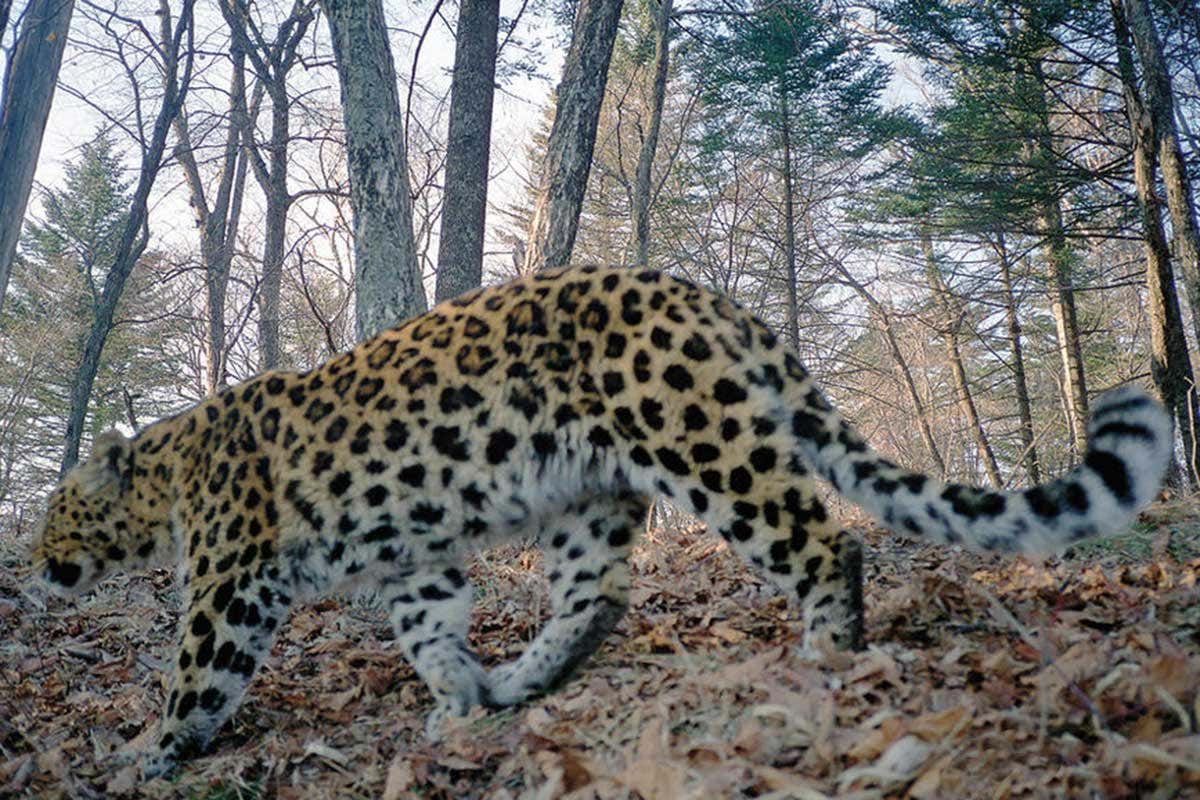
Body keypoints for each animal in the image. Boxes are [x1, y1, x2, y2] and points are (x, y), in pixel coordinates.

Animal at [31, 265, 1172, 777]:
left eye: (56, 514)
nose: (37, 567)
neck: (168, 473)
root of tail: (704, 293)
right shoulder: (416, 560)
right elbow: (429, 631)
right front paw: (459, 701)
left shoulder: (231, 582)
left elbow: (195, 671)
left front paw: (141, 757)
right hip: (587, 493)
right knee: (601, 596)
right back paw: (520, 683)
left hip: (700, 442)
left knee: (820, 536)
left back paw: (824, 658)